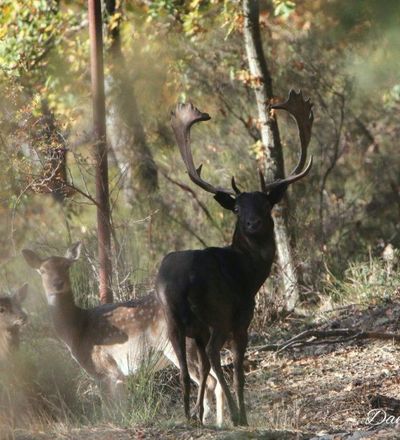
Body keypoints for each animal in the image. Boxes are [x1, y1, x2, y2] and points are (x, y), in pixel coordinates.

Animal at [21, 244, 225, 422]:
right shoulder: (119, 376)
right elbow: (121, 407)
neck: (76, 330)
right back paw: (222, 422)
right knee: (217, 379)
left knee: (209, 381)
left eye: (66, 266)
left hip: (181, 346)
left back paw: (203, 419)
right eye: (42, 270)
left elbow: (110, 409)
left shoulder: (104, 369)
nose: (58, 283)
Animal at [156, 90, 312, 426]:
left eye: (265, 204)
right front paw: (238, 412)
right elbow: (238, 370)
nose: (252, 223)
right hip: (218, 314)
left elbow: (201, 371)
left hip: (172, 320)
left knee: (187, 369)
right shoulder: (242, 318)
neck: (250, 275)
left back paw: (188, 415)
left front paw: (200, 413)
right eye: (238, 208)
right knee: (216, 355)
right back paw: (237, 415)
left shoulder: (198, 331)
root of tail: (180, 283)